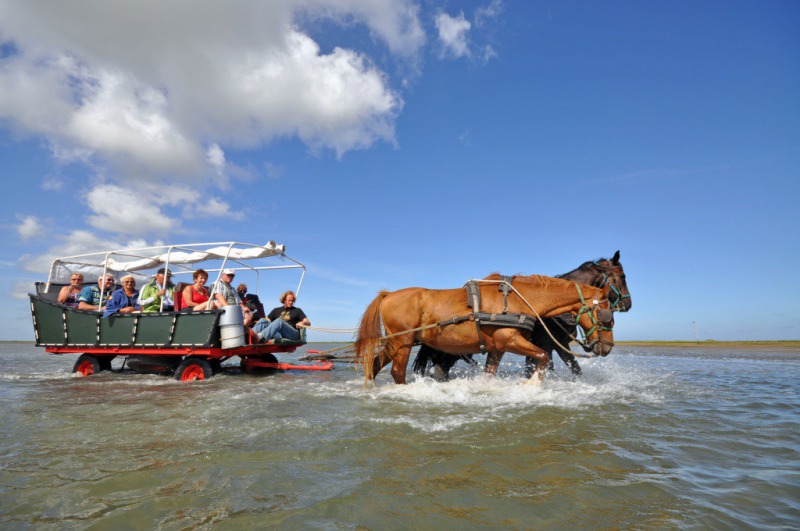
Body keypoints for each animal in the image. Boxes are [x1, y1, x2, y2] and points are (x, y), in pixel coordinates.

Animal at [354, 274, 612, 386]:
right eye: (606, 315)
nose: (608, 347)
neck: (519, 298)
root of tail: (388, 295)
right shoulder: (510, 340)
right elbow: (543, 357)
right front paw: (532, 385)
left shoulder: (498, 347)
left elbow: (490, 373)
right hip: (403, 342)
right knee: (397, 372)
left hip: (395, 343)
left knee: (375, 364)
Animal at [412, 251, 632, 380]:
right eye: (622, 276)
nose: (628, 304)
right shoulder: (549, 344)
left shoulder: (556, 344)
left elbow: (571, 368)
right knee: (440, 368)